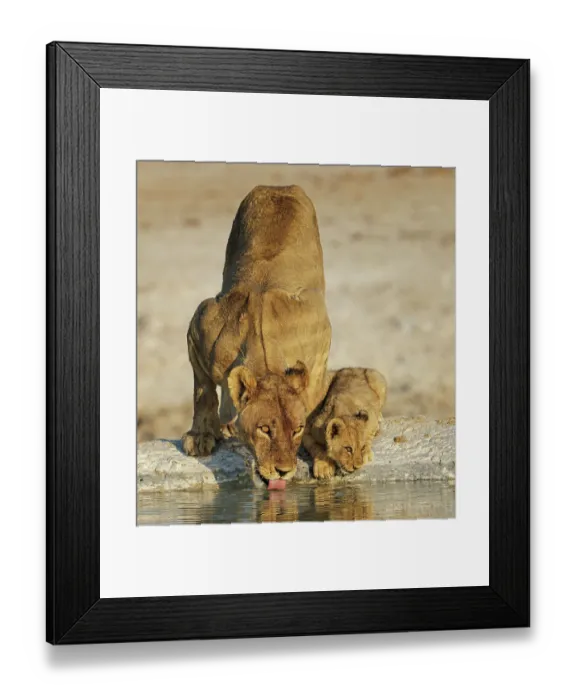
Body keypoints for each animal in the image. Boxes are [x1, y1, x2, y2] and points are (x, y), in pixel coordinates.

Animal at [181, 185, 332, 484]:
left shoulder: (321, 342)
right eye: (264, 429)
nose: (284, 470)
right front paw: (201, 435)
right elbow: (203, 390)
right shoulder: (198, 326)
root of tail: (281, 186)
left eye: (296, 429)